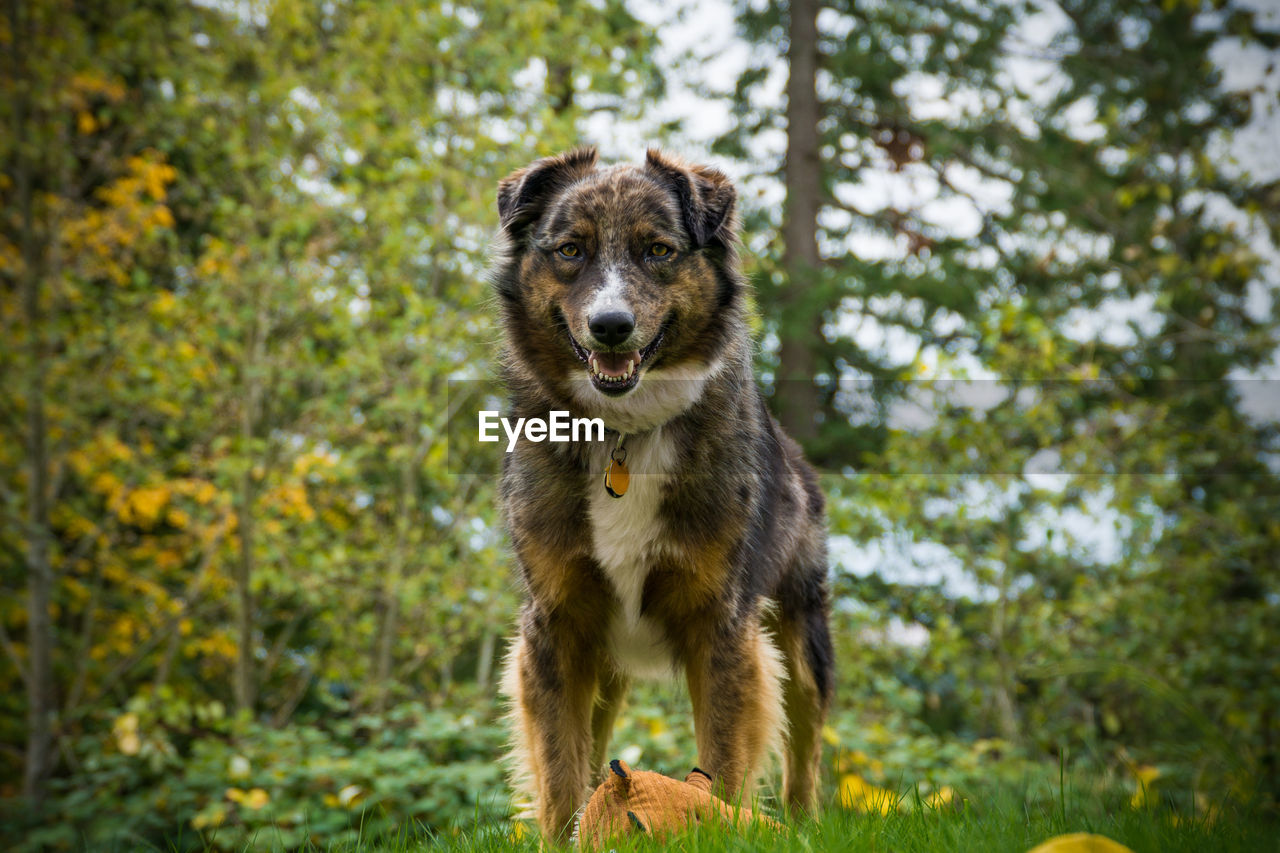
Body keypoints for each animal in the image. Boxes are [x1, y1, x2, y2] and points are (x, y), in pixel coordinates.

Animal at [486, 147, 829, 835]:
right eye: (570, 250)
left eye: (659, 251)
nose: (611, 326)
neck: (625, 433)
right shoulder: (557, 623)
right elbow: (560, 776)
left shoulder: (720, 624)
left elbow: (721, 763)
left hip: (802, 631)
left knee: (805, 740)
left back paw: (807, 825)